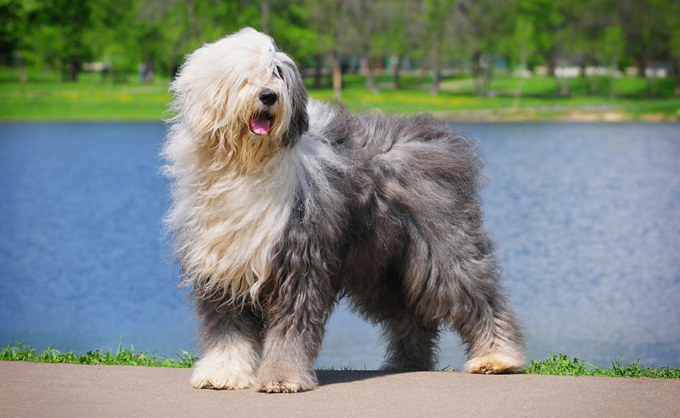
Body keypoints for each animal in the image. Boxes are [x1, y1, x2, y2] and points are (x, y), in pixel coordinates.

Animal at [165, 27, 524, 394]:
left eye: (277, 73)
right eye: (244, 74)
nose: (268, 97)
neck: (246, 165)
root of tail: (438, 139)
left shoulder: (297, 259)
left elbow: (290, 326)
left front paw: (282, 377)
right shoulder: (223, 266)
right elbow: (227, 328)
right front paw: (222, 373)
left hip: (441, 250)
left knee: (476, 296)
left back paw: (497, 357)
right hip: (384, 267)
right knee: (410, 315)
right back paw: (407, 362)